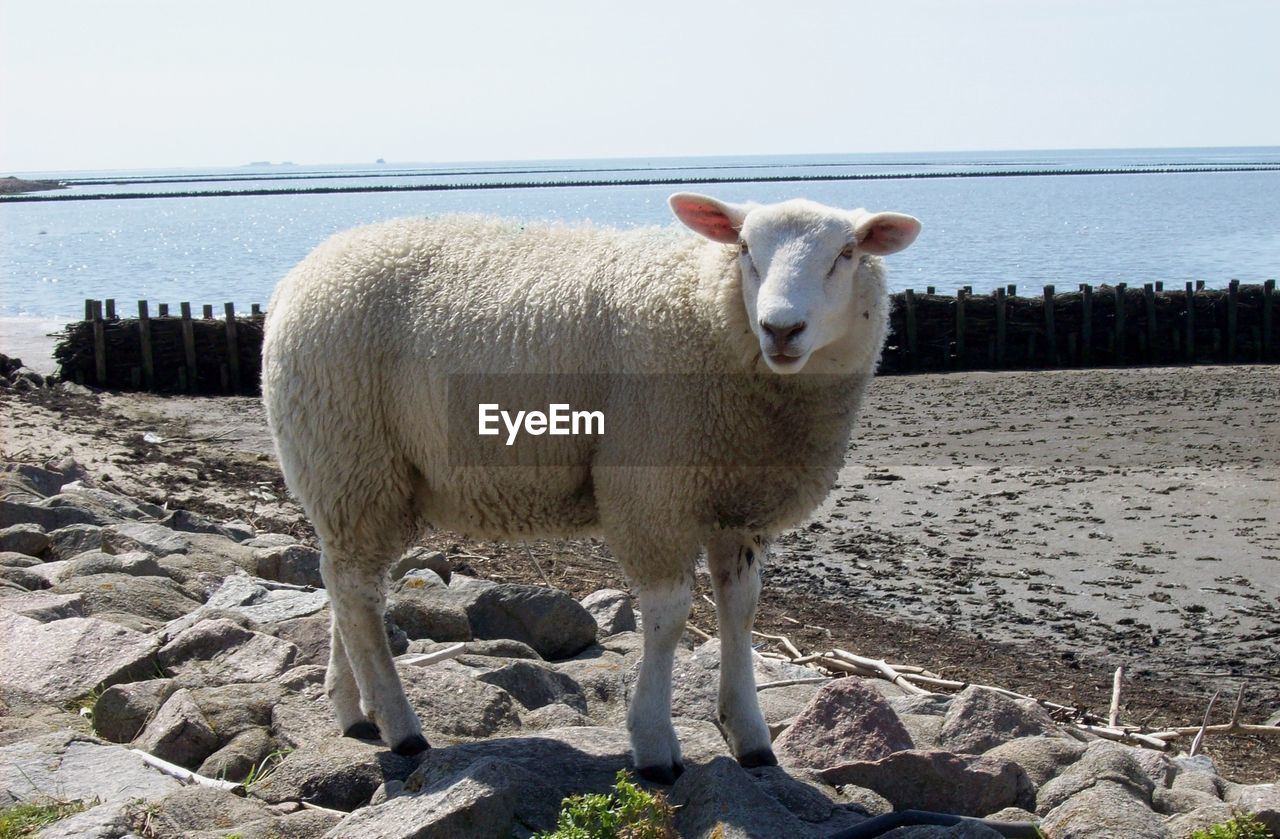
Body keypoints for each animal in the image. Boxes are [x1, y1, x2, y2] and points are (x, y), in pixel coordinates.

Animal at [259, 193, 921, 783]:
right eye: (744, 250)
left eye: (846, 252)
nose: (781, 328)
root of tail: (301, 274)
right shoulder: (651, 493)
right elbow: (668, 618)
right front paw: (654, 745)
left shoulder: (738, 505)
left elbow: (740, 611)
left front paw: (751, 738)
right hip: (351, 456)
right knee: (358, 591)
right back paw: (402, 728)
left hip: (352, 476)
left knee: (344, 584)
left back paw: (354, 709)